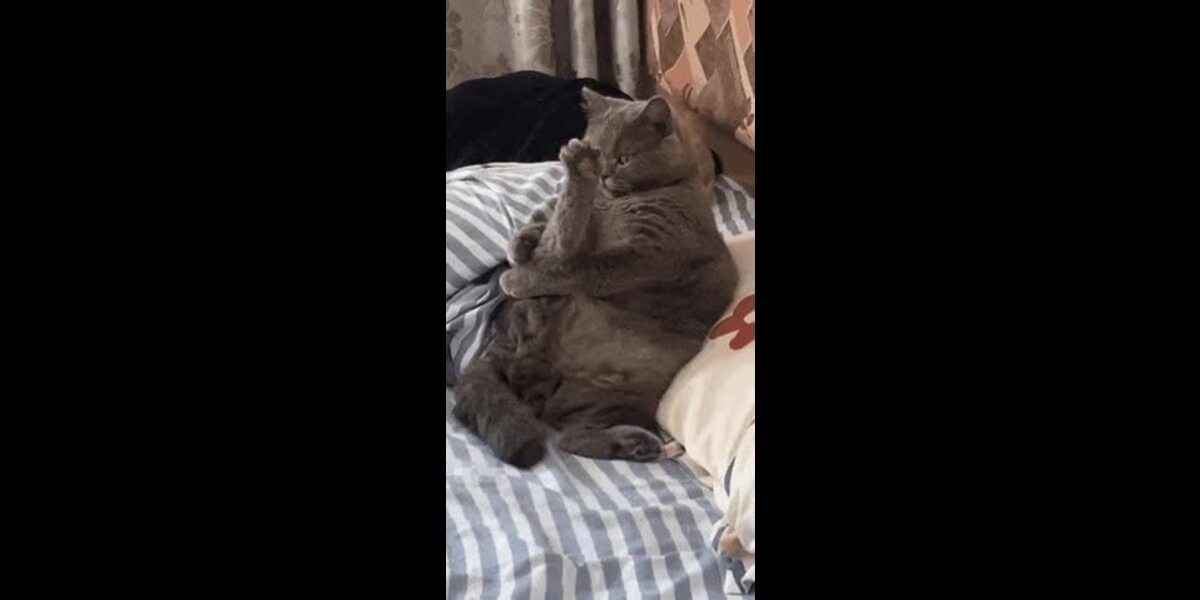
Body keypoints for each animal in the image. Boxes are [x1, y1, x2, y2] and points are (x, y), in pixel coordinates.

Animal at [452, 88, 737, 468]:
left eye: (624, 158)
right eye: (603, 150)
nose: (601, 170)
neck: (617, 202)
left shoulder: (645, 256)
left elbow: (579, 268)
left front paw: (518, 273)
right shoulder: (599, 237)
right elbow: (556, 238)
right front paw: (521, 243)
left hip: (615, 395)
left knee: (573, 436)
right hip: (552, 332)